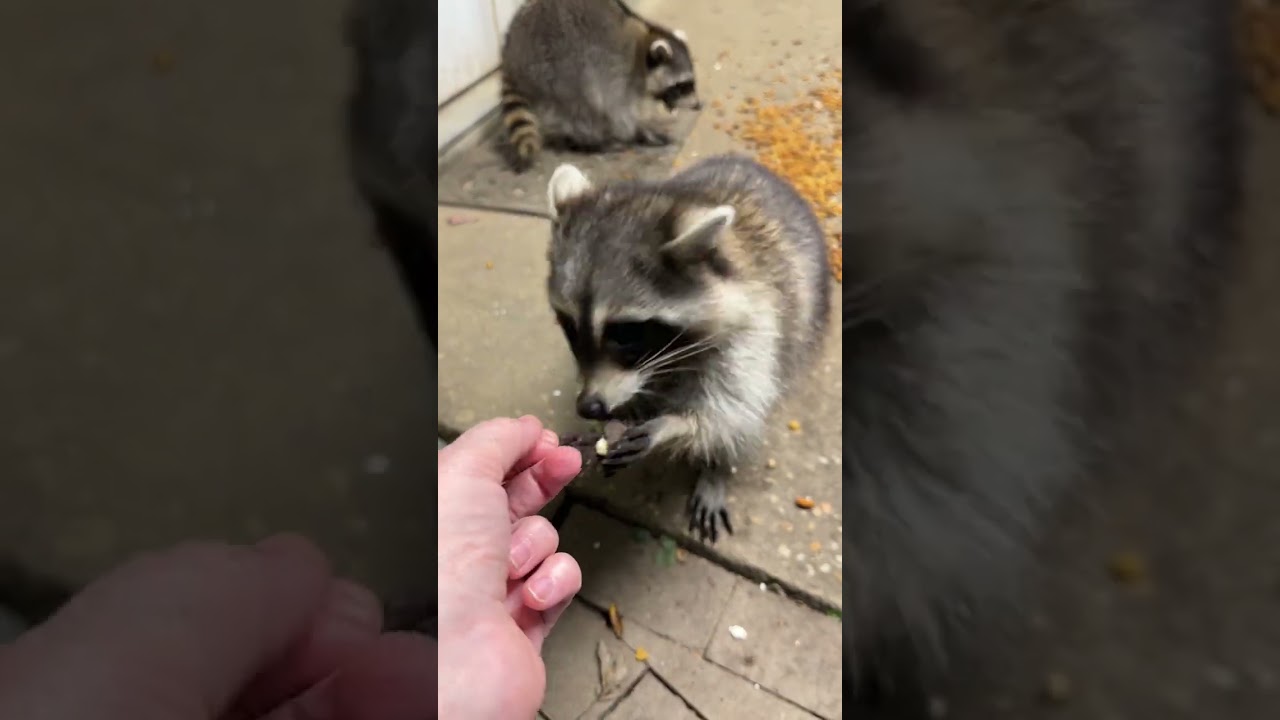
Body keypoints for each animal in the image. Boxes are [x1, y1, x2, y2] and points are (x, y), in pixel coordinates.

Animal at [500, 0, 702, 171]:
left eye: (691, 83)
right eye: (682, 85)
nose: (698, 105)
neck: (645, 44)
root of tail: (511, 55)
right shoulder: (618, 75)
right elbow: (619, 112)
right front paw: (640, 132)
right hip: (554, 65)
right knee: (583, 105)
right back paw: (592, 141)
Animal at [545, 155, 832, 541]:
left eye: (626, 333)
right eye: (570, 325)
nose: (590, 407)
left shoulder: (758, 328)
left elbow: (731, 412)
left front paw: (674, 426)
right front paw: (620, 418)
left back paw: (717, 467)